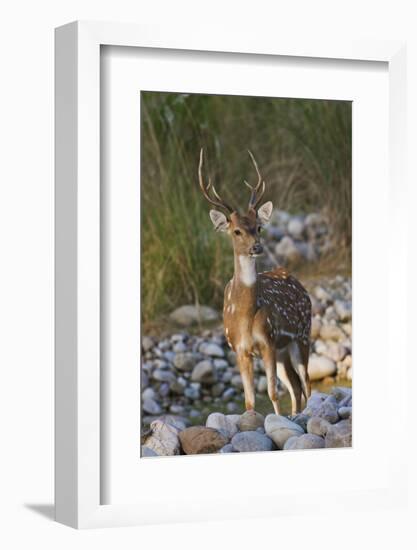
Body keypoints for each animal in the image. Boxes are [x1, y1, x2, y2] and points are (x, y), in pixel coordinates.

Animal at [197, 149, 310, 416]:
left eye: (259, 227)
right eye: (236, 231)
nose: (256, 247)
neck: (245, 316)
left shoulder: (268, 341)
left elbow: (272, 393)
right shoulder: (240, 350)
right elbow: (249, 401)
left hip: (302, 335)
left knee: (306, 383)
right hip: (283, 350)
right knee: (295, 387)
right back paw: (296, 415)